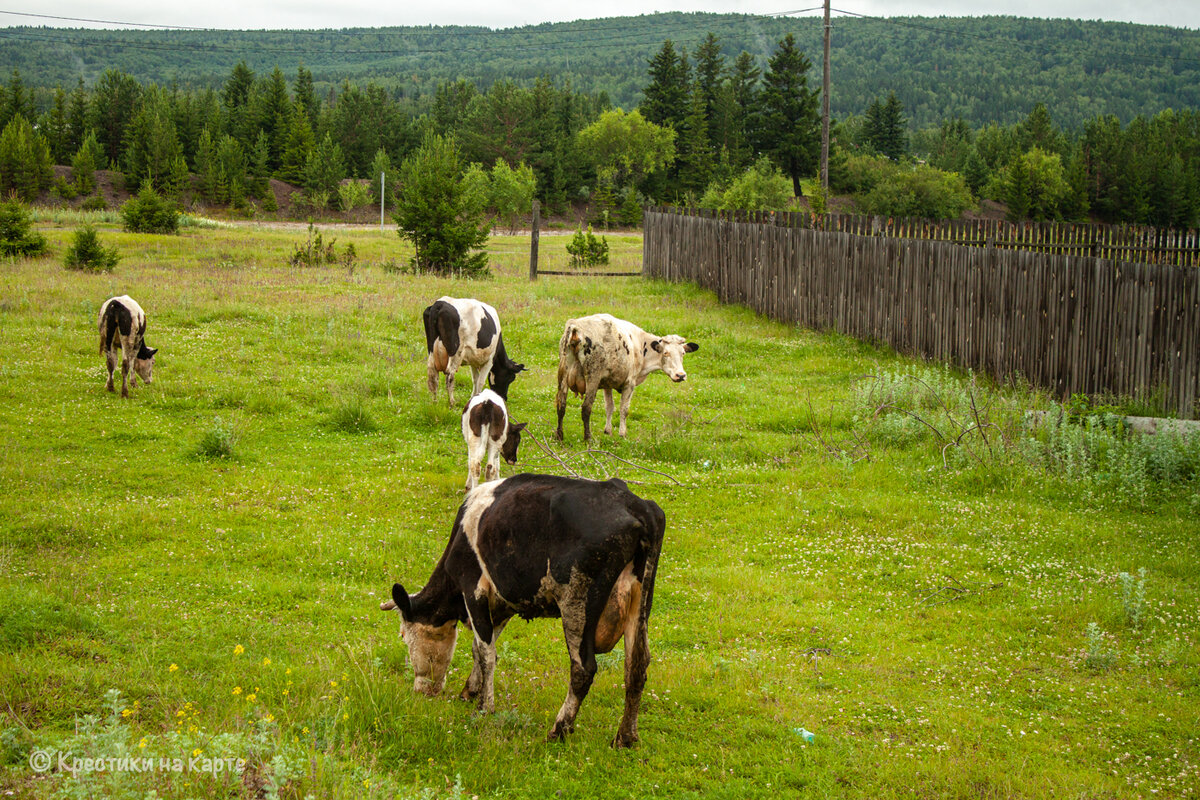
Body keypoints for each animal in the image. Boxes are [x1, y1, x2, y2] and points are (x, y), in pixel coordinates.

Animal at [379, 474, 667, 743]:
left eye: (403, 636)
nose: (421, 691)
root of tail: (637, 506)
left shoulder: (473, 588)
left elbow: (487, 653)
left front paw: (485, 708)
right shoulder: (502, 603)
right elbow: (479, 648)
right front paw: (470, 691)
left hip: (577, 601)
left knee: (583, 668)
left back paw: (559, 729)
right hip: (641, 600)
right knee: (637, 665)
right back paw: (625, 737)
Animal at [554, 311, 700, 441]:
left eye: (683, 353)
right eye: (666, 353)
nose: (680, 375)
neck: (640, 343)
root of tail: (576, 326)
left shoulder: (607, 383)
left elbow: (610, 407)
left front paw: (608, 431)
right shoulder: (630, 383)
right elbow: (624, 409)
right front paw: (622, 433)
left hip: (563, 376)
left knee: (561, 405)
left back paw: (559, 435)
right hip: (592, 377)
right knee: (586, 407)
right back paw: (588, 438)